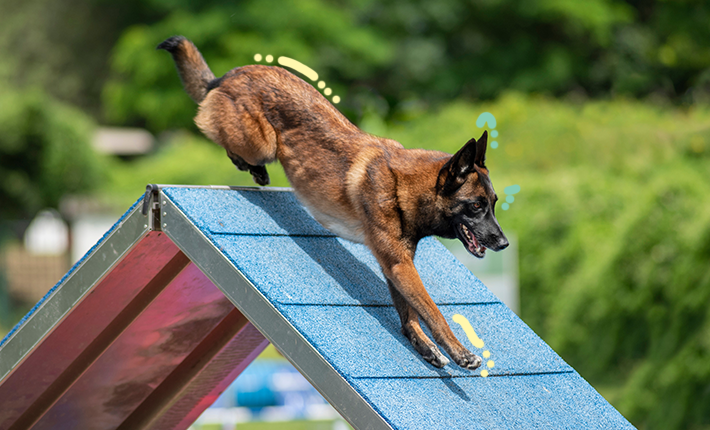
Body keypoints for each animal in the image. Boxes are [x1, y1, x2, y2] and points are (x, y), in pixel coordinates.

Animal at [159, 36, 508, 370]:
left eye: (493, 203)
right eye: (476, 206)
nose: (504, 243)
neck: (405, 187)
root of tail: (231, 74)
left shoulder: (396, 264)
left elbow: (409, 313)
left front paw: (424, 347)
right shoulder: (400, 264)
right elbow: (433, 312)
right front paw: (461, 353)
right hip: (261, 143)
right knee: (210, 124)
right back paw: (251, 166)